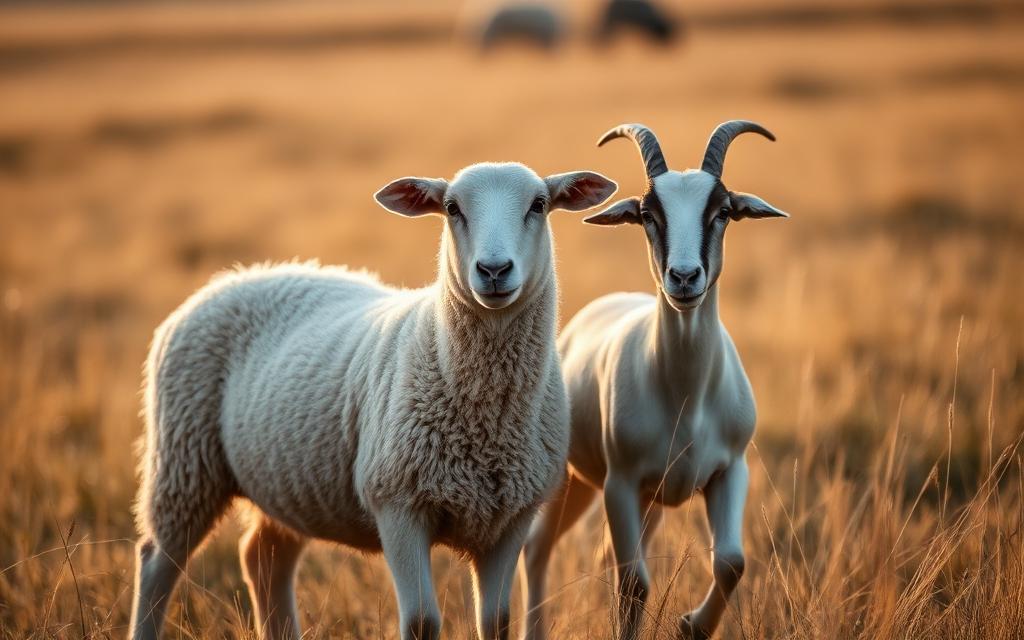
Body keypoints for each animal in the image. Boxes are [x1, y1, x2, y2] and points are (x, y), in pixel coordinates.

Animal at [128, 161, 618, 640]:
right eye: (452, 208)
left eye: (539, 205)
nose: (494, 270)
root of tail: (233, 277)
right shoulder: (397, 504)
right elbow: (421, 623)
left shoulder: (512, 515)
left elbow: (496, 622)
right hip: (184, 462)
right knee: (157, 562)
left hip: (282, 478)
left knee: (264, 557)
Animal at [521, 122, 788, 640]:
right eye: (647, 214)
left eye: (723, 211)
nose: (683, 278)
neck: (685, 396)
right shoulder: (620, 485)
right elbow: (635, 582)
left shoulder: (729, 472)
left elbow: (731, 562)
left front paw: (689, 625)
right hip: (574, 480)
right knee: (538, 546)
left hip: (650, 501)